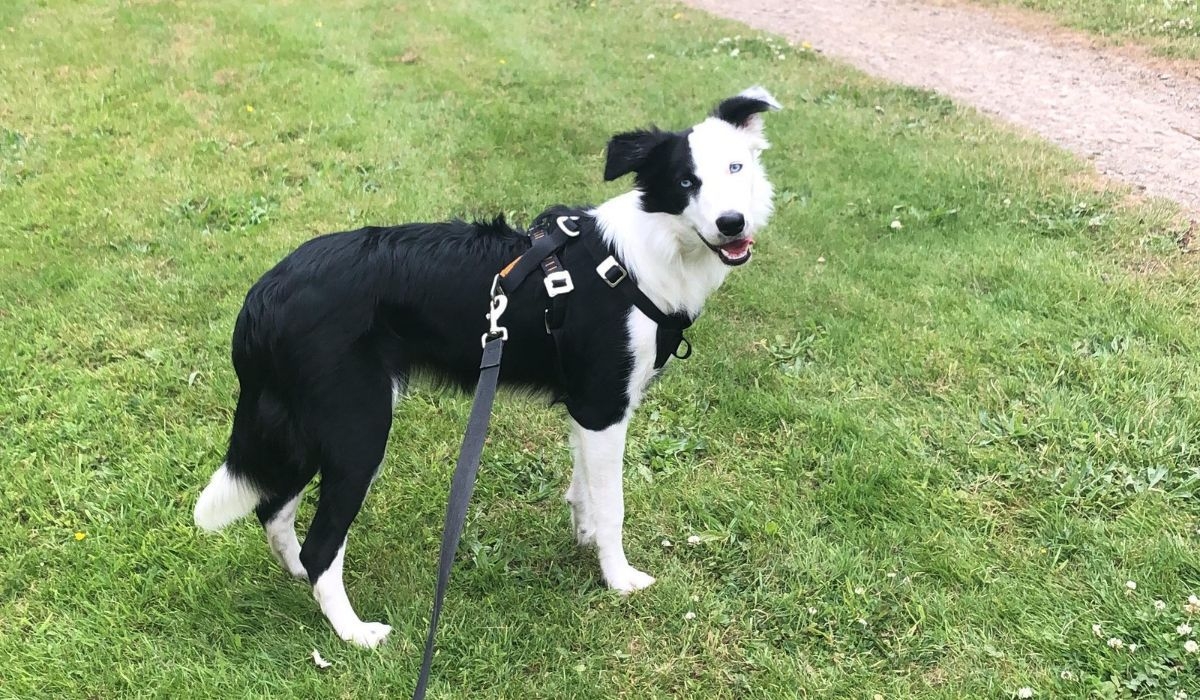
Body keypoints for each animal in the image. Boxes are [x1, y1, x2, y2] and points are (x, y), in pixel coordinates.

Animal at [193, 86, 782, 648]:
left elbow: (584, 491)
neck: (645, 255)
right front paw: (618, 579)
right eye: (685, 181)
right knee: (320, 542)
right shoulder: (604, 406)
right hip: (358, 430)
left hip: (309, 429)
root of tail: (264, 295)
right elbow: (612, 505)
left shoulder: (586, 409)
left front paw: (585, 539)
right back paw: (353, 632)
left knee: (272, 507)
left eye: (737, 168)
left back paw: (298, 575)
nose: (732, 224)